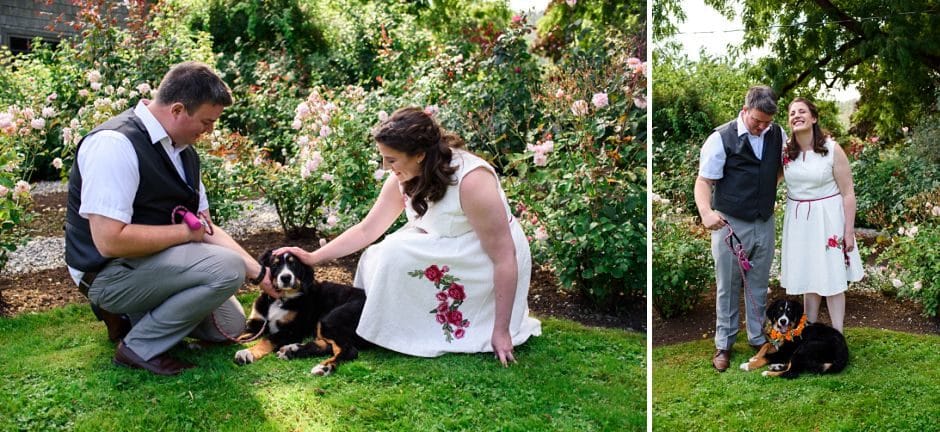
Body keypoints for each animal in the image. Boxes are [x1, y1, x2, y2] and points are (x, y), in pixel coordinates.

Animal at [231, 250, 370, 374]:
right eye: (275, 264)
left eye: (294, 264)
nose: (286, 277)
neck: (280, 300)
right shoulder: (256, 323)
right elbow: (237, 335)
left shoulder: (292, 330)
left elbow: (268, 339)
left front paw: (248, 352)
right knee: (328, 345)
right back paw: (292, 350)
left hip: (330, 319)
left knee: (349, 350)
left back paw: (324, 367)